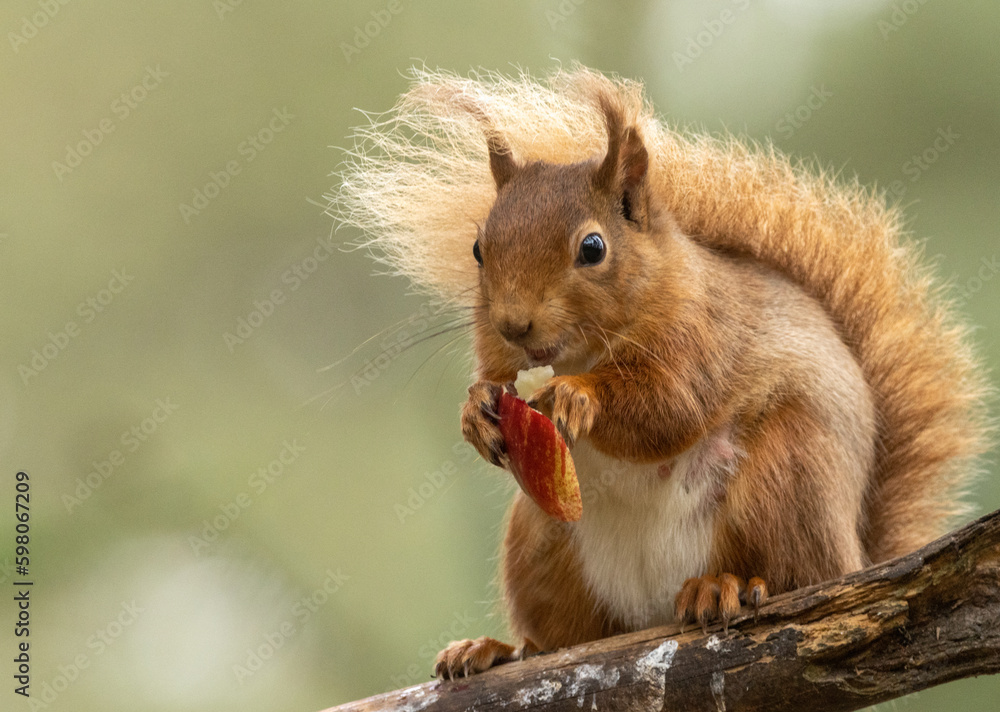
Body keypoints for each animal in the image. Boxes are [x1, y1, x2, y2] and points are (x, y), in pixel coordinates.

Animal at [331, 67, 992, 680]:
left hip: (787, 477)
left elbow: (669, 409)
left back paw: (725, 586)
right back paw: (491, 650)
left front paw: (575, 397)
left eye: (593, 248)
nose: (514, 325)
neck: (589, 347)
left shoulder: (703, 338)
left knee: (796, 577)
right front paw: (475, 413)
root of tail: (858, 554)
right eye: (477, 249)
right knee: (563, 641)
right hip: (541, 543)